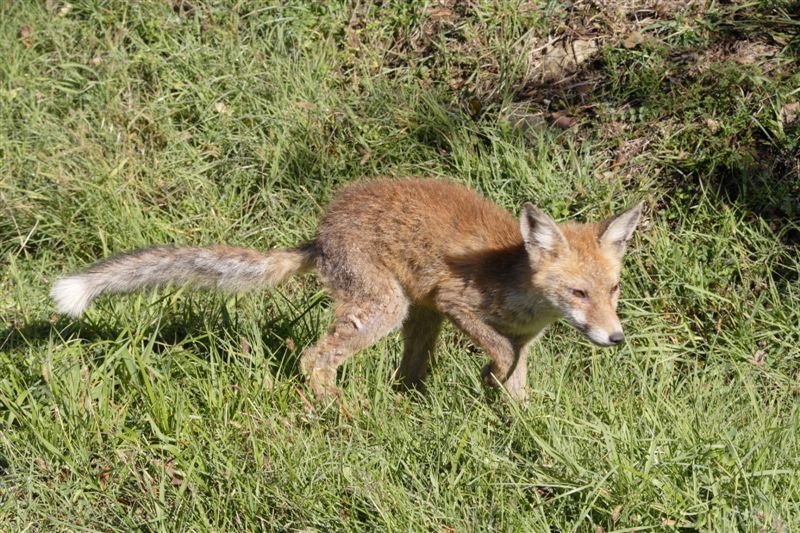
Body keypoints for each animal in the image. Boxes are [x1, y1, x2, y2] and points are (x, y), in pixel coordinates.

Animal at [51, 179, 644, 400]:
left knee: (404, 375)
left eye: (613, 290)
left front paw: (516, 424)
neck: (518, 285)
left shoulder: (523, 339)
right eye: (578, 294)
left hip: (415, 316)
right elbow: (498, 352)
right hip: (387, 309)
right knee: (314, 358)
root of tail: (321, 233)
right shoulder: (456, 301)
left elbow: (515, 376)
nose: (616, 338)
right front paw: (491, 383)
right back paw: (339, 413)